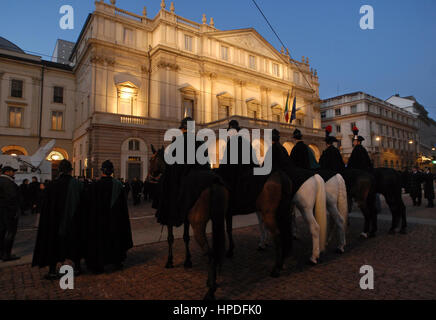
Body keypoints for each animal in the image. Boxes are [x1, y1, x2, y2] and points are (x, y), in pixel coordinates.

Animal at [149, 148, 228, 300]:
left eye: (151, 159)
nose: (151, 174)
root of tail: (213, 183)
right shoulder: (185, 218)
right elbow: (186, 238)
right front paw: (187, 261)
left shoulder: (169, 218)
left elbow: (170, 238)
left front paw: (170, 261)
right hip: (217, 220)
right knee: (215, 251)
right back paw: (212, 282)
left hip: (198, 225)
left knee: (210, 253)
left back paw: (210, 290)